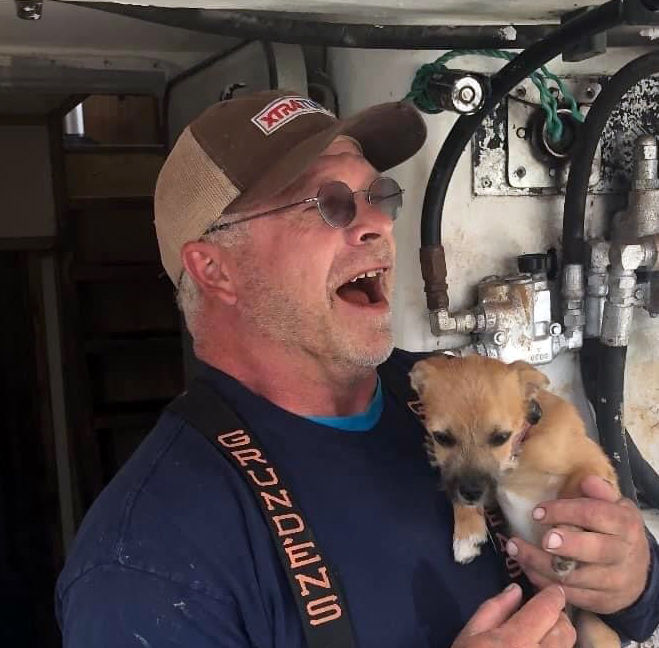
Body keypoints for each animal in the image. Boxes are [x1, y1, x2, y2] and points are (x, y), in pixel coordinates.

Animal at [410, 353, 621, 648]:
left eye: (500, 437)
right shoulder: (486, 487)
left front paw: (565, 537)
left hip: (595, 630)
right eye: (442, 437)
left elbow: (573, 490)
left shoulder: (595, 465)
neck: (517, 455)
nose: (470, 492)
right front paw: (466, 534)